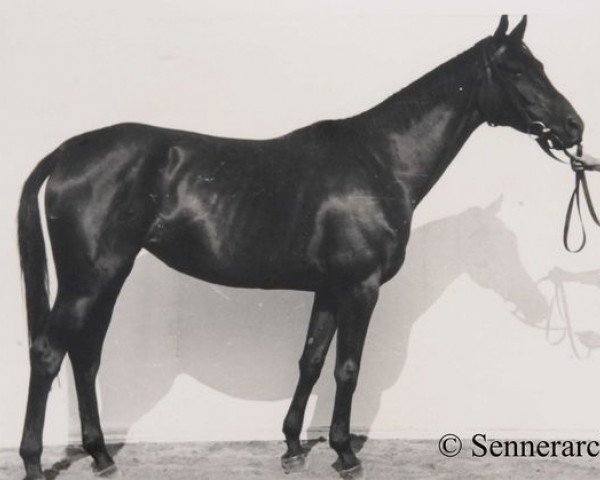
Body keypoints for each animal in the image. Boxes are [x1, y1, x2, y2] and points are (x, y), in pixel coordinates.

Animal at [19, 15, 584, 480]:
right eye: (516, 71)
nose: (573, 126)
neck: (380, 160)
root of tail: (68, 151)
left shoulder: (329, 288)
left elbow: (311, 360)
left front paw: (292, 447)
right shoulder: (360, 287)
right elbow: (347, 368)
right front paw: (345, 453)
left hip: (108, 277)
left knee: (85, 355)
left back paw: (101, 455)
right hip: (88, 279)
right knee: (49, 351)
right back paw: (33, 462)